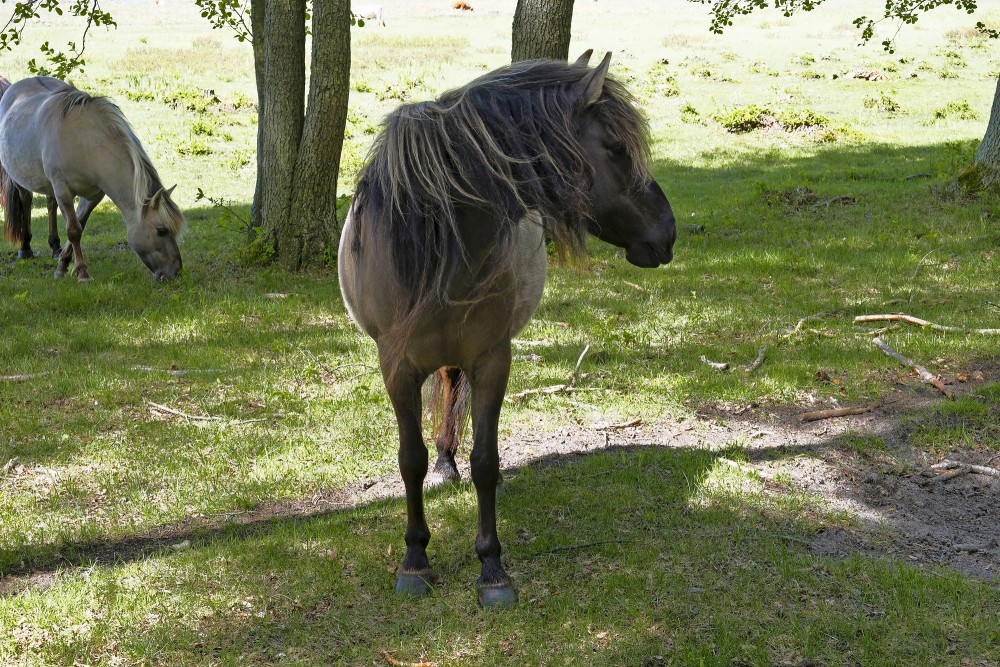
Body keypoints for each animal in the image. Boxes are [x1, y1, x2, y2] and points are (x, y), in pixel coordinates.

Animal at [0, 77, 186, 280]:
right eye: (161, 230)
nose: (175, 271)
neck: (84, 141)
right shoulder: (63, 191)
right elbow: (73, 230)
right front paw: (81, 272)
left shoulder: (93, 195)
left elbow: (79, 225)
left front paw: (63, 264)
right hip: (21, 179)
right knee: (26, 200)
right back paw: (25, 248)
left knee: (50, 204)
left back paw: (55, 247)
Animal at [340, 51, 676, 604]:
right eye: (616, 148)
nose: (667, 234)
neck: (441, 247)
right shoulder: (397, 368)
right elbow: (409, 460)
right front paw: (415, 560)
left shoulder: (492, 361)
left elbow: (486, 462)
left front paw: (492, 567)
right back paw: (442, 467)